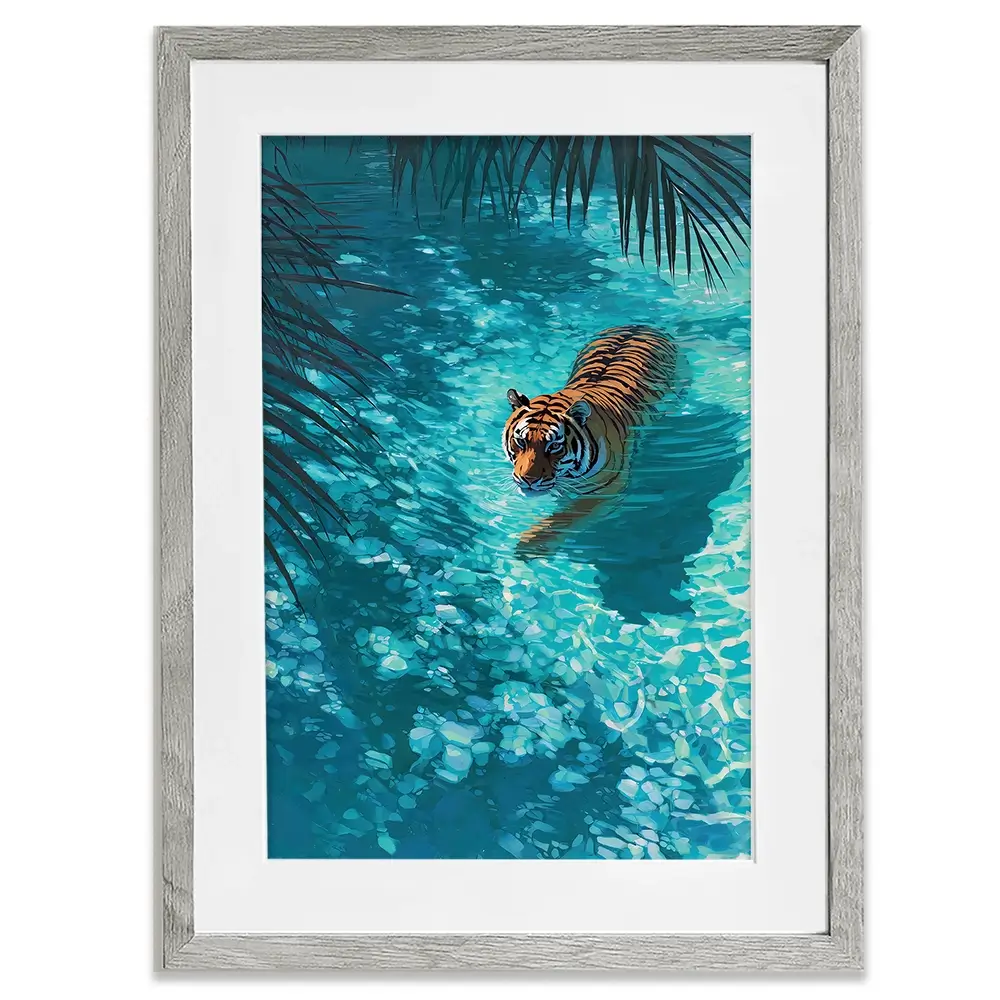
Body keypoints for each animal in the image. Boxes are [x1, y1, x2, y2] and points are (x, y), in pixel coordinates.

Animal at [502, 324, 677, 552]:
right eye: (521, 441)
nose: (528, 480)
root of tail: (640, 325)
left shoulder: (605, 491)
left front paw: (528, 543)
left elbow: (563, 519)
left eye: (554, 446)